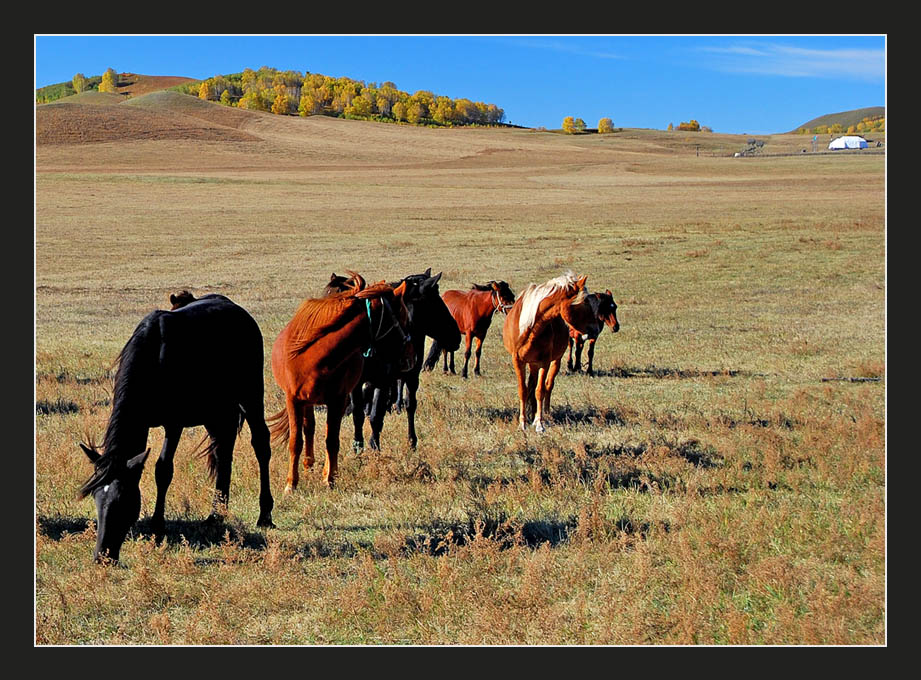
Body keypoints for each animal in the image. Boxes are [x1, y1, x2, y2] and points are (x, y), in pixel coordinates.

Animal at [77, 294, 274, 564]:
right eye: (97, 499)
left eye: (124, 501)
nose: (102, 556)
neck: (153, 356)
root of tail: (240, 313)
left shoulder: (174, 423)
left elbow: (163, 469)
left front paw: (157, 527)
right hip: (216, 411)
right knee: (223, 453)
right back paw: (216, 515)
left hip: (251, 395)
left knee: (261, 445)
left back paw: (265, 514)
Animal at [270, 274, 414, 492]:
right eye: (403, 319)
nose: (411, 358)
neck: (315, 357)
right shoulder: (294, 400)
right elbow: (296, 441)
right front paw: (291, 484)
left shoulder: (337, 400)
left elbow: (332, 440)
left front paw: (329, 478)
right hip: (307, 402)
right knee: (309, 428)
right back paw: (308, 464)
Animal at [500, 270, 600, 430]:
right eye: (585, 302)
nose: (595, 330)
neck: (531, 326)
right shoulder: (518, 361)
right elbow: (523, 390)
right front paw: (523, 423)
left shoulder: (545, 362)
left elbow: (540, 390)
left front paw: (539, 423)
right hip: (532, 363)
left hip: (554, 361)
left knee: (548, 386)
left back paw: (545, 414)